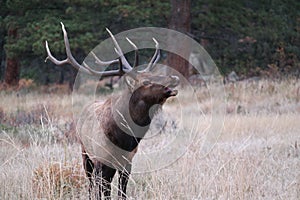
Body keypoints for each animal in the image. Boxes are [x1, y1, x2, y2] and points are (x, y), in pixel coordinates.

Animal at [45, 22, 179, 199]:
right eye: (146, 81)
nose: (174, 78)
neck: (124, 138)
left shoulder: (127, 161)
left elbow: (122, 192)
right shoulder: (101, 159)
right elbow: (103, 191)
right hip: (85, 153)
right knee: (92, 185)